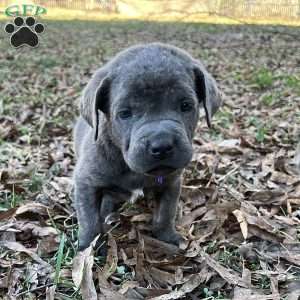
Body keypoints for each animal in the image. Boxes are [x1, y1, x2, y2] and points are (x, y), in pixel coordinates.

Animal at [74, 41, 221, 248]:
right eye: (125, 113)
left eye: (186, 105)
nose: (162, 145)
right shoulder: (86, 183)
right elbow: (89, 221)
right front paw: (89, 247)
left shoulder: (171, 183)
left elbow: (165, 213)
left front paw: (167, 236)